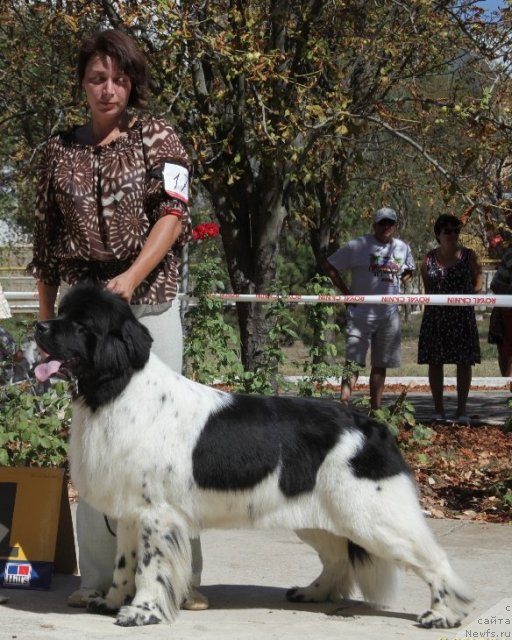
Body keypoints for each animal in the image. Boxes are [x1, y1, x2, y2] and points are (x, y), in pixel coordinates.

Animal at [35, 284, 472, 632]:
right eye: (61, 311)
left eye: (81, 324)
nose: (39, 327)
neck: (118, 389)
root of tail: (373, 426)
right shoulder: (130, 511)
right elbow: (125, 564)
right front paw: (110, 602)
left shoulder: (155, 514)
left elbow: (149, 567)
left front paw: (141, 612)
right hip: (321, 516)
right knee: (337, 559)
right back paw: (313, 593)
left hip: (372, 515)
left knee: (434, 559)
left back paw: (443, 615)